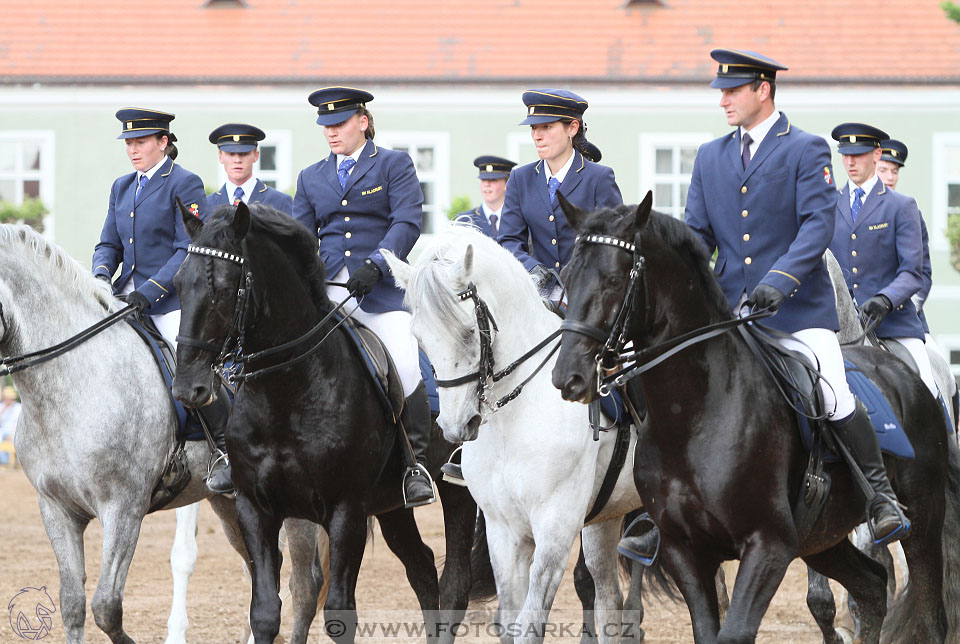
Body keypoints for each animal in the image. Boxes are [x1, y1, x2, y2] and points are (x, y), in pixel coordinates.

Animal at [0, 225, 324, 644]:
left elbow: (107, 607)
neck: (74, 382)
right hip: (231, 504)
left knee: (304, 585)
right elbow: (72, 604)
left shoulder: (124, 508)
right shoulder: (56, 509)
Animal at [172, 203, 476, 644]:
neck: (288, 392)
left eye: (226, 288)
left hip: (455, 490)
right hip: (391, 505)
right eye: (179, 284)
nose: (187, 387)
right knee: (421, 567)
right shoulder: (254, 509)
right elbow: (265, 613)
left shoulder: (346, 510)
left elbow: (338, 613)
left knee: (454, 582)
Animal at [384, 225, 644, 640]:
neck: (516, 418)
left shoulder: (555, 528)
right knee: (609, 600)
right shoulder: (503, 529)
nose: (456, 425)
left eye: (469, 332)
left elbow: (530, 623)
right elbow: (510, 621)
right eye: (419, 338)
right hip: (606, 516)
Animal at [548, 195, 960, 644]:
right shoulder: (684, 551)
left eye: (612, 280)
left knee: (927, 611)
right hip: (823, 536)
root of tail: (900, 370)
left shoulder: (768, 545)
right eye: (566, 278)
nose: (568, 376)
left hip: (921, 519)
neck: (696, 415)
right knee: (870, 586)